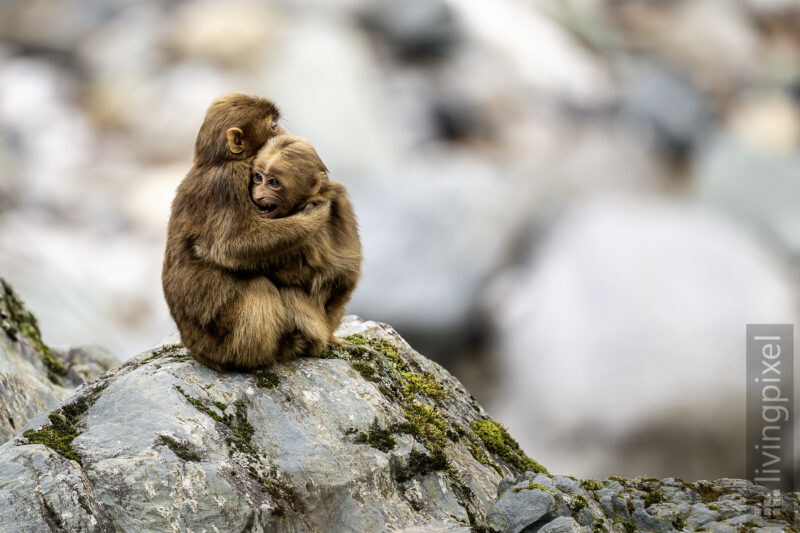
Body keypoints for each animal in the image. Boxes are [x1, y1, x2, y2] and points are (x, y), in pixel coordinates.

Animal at [162, 93, 335, 371]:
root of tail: (198, 352)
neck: (221, 161)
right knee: (257, 286)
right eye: (273, 126)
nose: (285, 133)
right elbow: (232, 246)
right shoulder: (229, 181)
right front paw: (314, 217)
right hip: (218, 340)